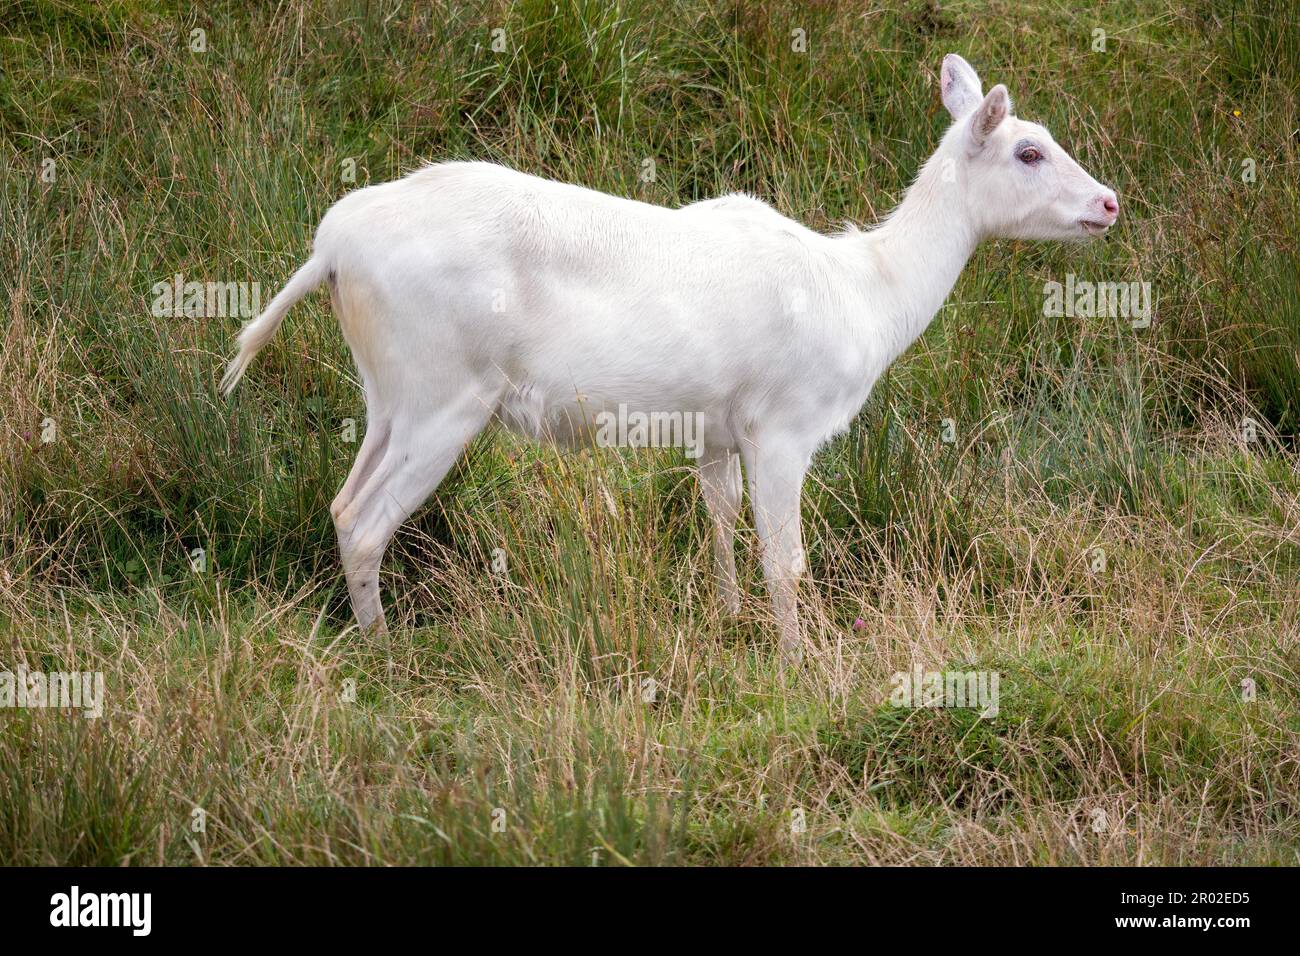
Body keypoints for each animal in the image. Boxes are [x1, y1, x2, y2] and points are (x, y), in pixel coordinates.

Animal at [220, 54, 1118, 665]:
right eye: (1029, 152)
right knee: (367, 522)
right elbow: (785, 559)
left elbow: (720, 520)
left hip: (389, 394)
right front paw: (800, 662)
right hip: (447, 394)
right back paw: (386, 654)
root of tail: (331, 247)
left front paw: (726, 618)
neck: (867, 293)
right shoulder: (784, 424)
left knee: (341, 501)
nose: (1109, 202)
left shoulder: (717, 428)